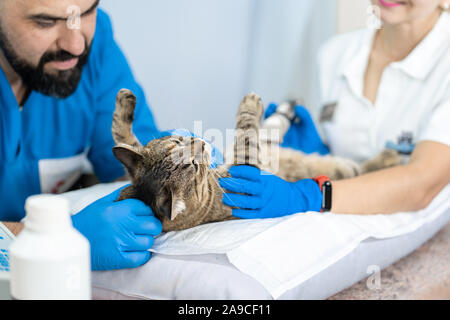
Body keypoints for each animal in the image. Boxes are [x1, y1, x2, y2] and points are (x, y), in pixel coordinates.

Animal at [112, 89, 400, 231]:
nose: (201, 142)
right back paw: (389, 158)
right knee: (358, 168)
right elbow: (247, 132)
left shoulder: (130, 167)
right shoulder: (247, 169)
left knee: (276, 128)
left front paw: (124, 101)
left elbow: (121, 134)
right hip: (342, 169)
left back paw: (287, 109)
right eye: (192, 166)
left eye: (178, 141)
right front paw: (250, 104)